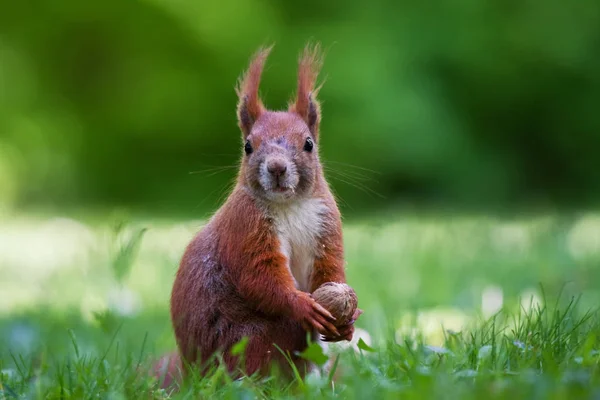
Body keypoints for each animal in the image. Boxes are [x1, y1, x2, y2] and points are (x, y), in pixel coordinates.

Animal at [158, 41, 360, 388]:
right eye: (248, 147)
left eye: (308, 143)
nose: (277, 167)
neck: (289, 205)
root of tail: (191, 372)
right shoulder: (245, 226)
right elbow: (259, 277)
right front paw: (303, 306)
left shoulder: (326, 222)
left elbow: (330, 268)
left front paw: (348, 318)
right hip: (251, 340)